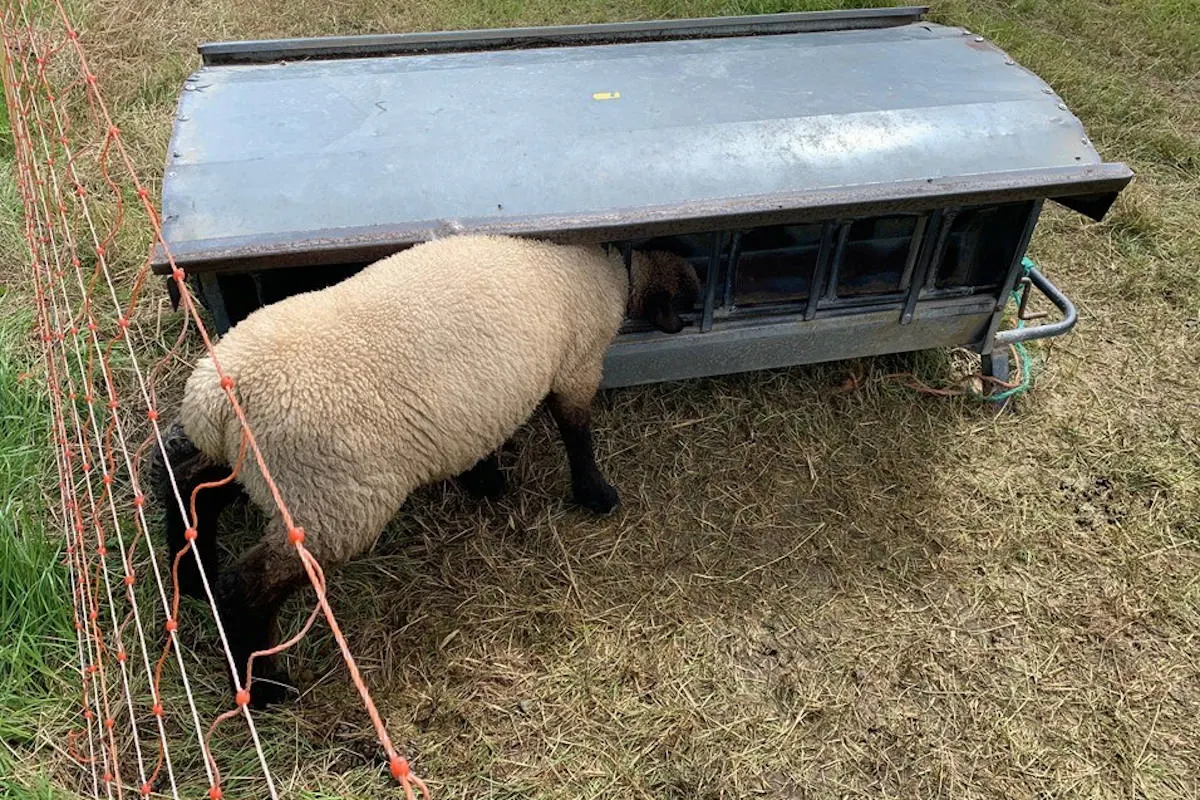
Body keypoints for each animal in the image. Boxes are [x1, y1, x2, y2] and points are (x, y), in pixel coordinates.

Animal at [151, 234, 700, 706]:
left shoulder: (483, 405)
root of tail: (217, 397)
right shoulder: (577, 366)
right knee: (246, 587)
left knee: (188, 482)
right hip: (330, 501)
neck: (611, 269)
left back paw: (194, 574)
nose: (681, 325)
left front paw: (485, 480)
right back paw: (263, 686)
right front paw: (596, 494)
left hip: (265, 470)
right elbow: (577, 434)